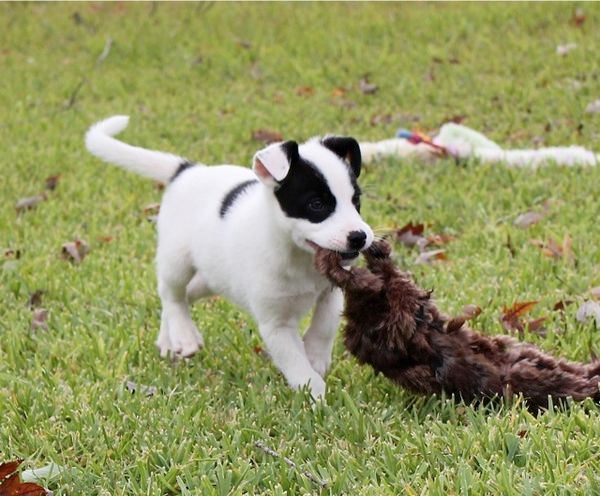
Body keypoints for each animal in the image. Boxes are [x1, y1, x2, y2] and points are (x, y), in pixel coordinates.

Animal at [85, 116, 374, 399]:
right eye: (316, 205)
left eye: (356, 201)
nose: (359, 236)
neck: (299, 257)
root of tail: (187, 170)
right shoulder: (276, 325)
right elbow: (295, 362)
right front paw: (315, 393)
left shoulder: (330, 290)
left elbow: (325, 323)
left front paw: (315, 355)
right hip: (176, 259)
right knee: (171, 295)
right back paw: (184, 335)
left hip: (213, 277)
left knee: (185, 295)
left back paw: (169, 339)